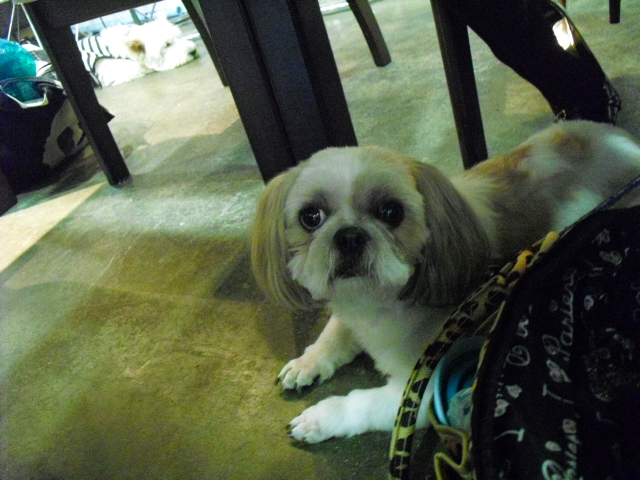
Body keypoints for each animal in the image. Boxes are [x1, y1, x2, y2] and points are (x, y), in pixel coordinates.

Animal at [250, 120, 640, 444]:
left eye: (391, 212)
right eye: (310, 217)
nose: (348, 236)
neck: (376, 302)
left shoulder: (415, 393)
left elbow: (362, 403)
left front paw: (321, 418)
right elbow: (335, 331)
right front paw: (308, 362)